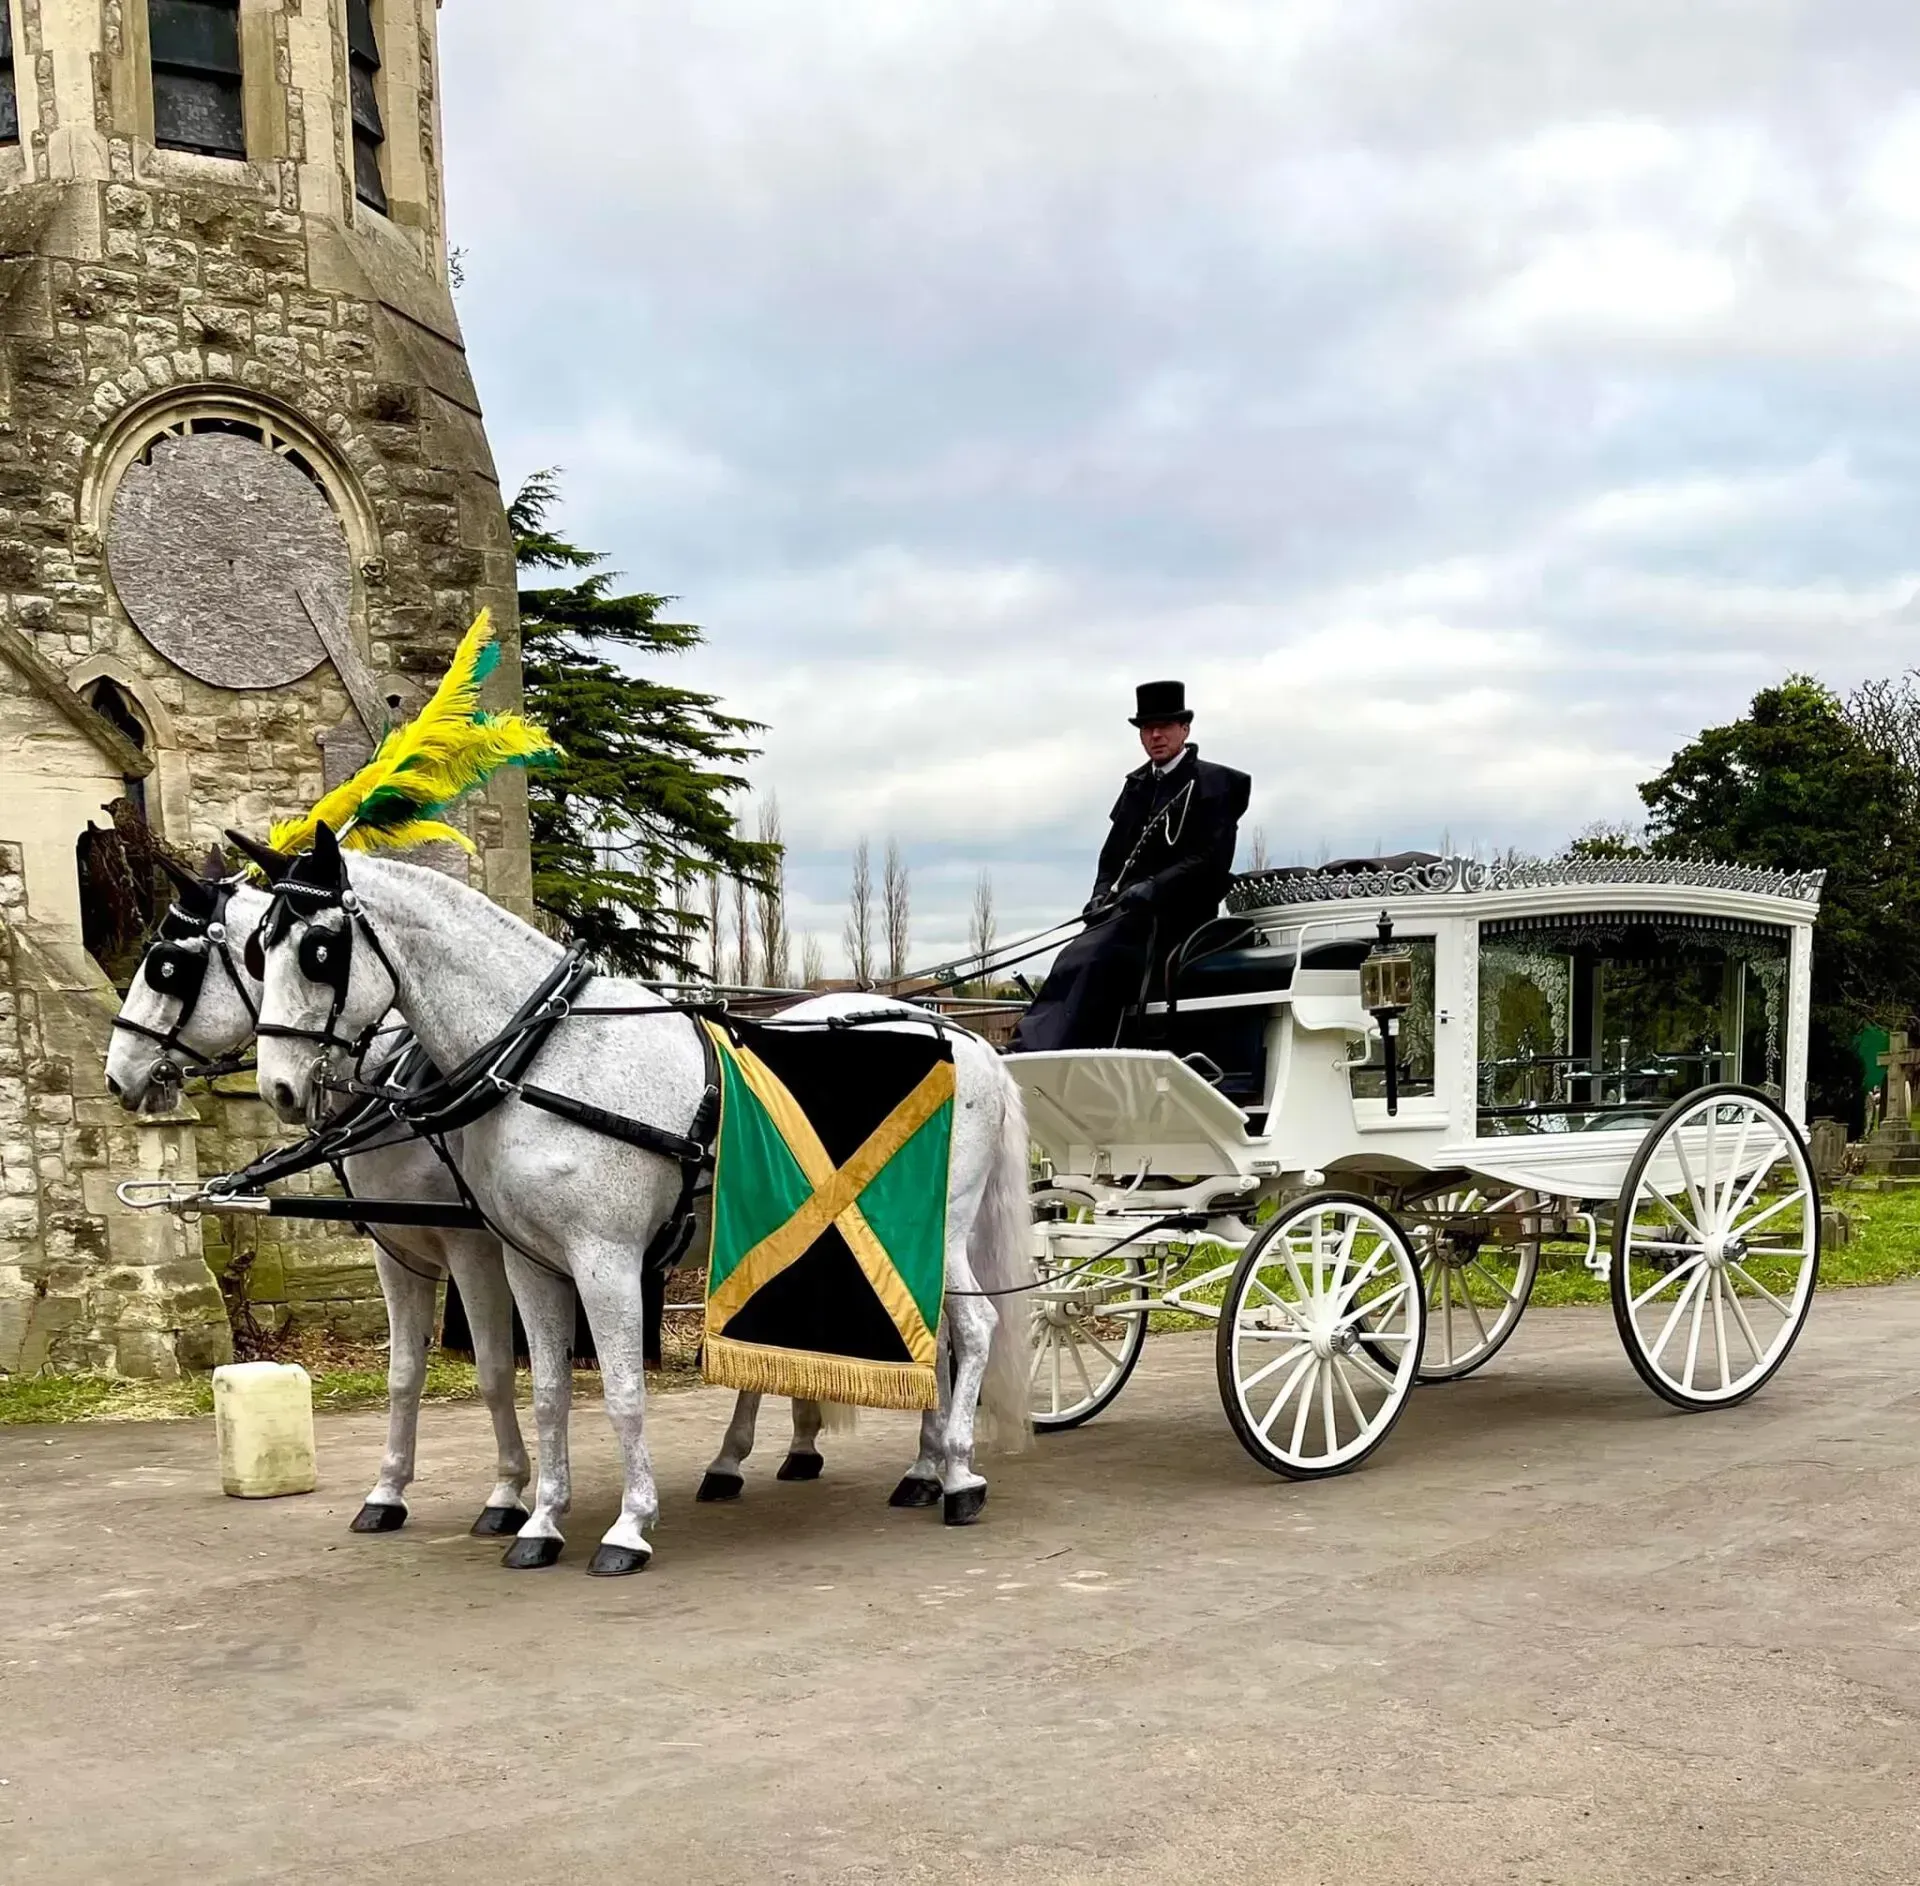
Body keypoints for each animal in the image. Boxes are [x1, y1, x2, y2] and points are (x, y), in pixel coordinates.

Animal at [253, 829, 1036, 1582]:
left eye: (318, 950)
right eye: (261, 949)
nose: (279, 1089)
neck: (547, 1057)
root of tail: (966, 1036)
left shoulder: (603, 1262)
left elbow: (624, 1391)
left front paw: (628, 1526)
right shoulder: (528, 1263)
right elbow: (548, 1393)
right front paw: (542, 1522)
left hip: (938, 1231)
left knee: (974, 1328)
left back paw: (959, 1474)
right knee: (935, 1339)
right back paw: (921, 1469)